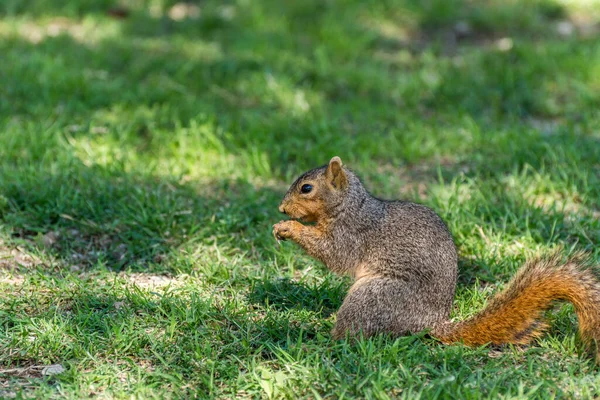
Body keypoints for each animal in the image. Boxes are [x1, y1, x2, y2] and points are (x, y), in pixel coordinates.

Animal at [274, 155, 600, 356]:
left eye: (306, 188)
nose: (281, 208)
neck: (349, 206)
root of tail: (431, 324)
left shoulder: (352, 234)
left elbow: (333, 254)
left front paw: (289, 228)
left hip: (375, 296)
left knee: (352, 335)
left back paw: (319, 340)